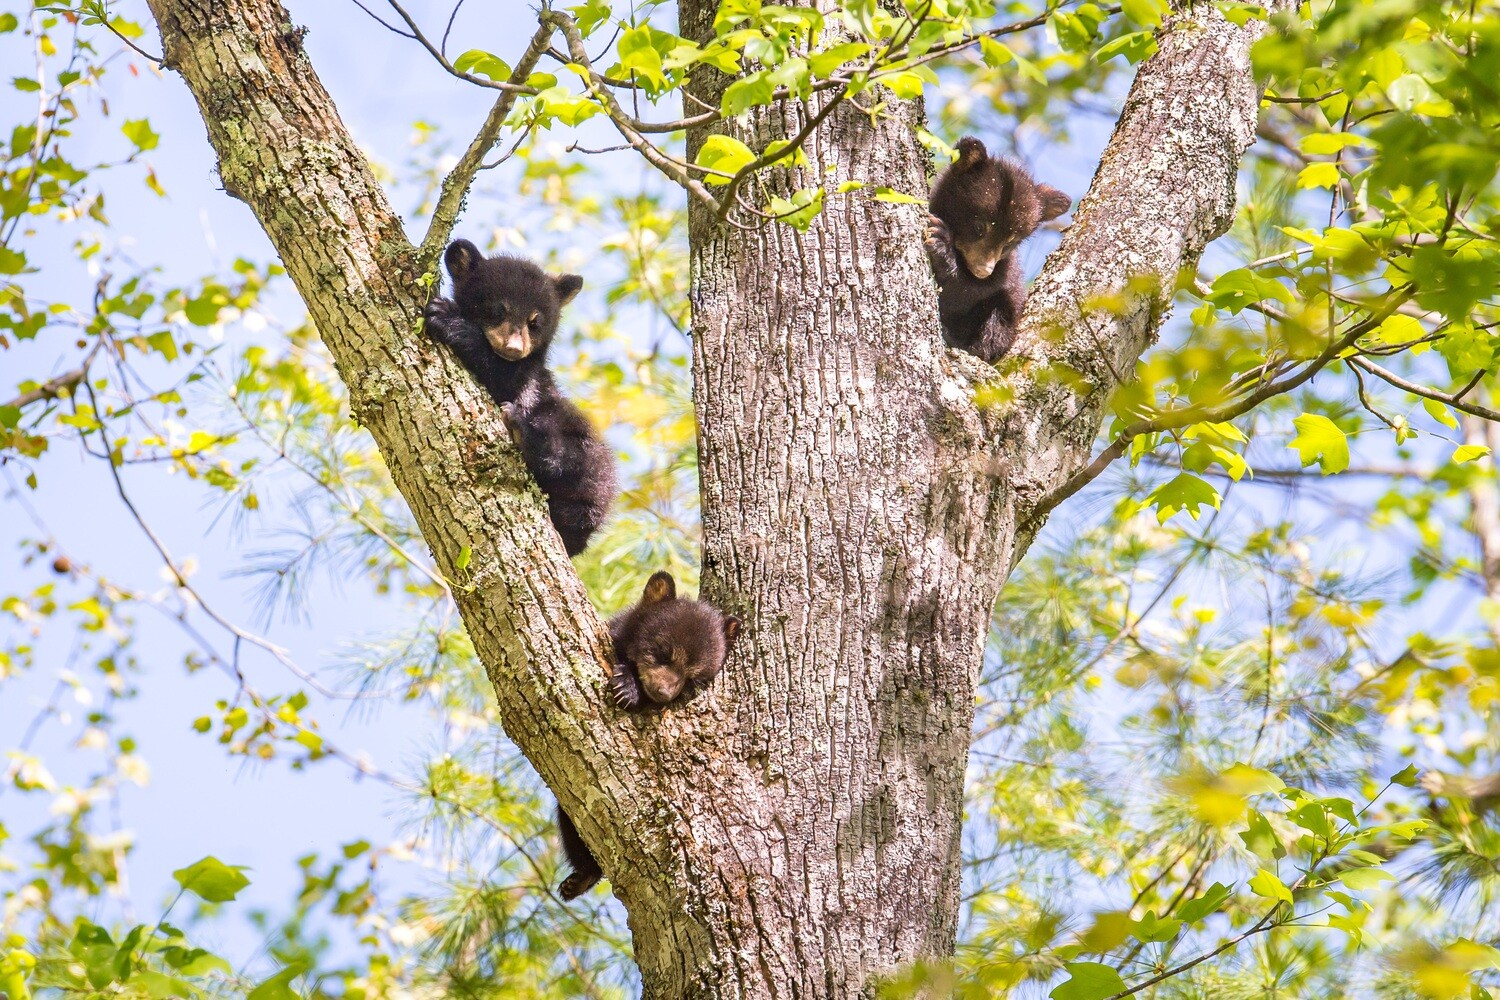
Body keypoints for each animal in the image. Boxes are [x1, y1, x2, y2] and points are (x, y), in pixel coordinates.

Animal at [423, 239, 617, 557]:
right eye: (497, 310)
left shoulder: (531, 381)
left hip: (587, 456)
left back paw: (525, 433)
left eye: (535, 322)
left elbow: (506, 378)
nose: (514, 348)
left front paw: (449, 318)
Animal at [925, 136, 1072, 362]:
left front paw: (941, 245)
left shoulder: (1005, 272)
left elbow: (967, 293)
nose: (983, 270)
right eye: (979, 227)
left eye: (1009, 243)